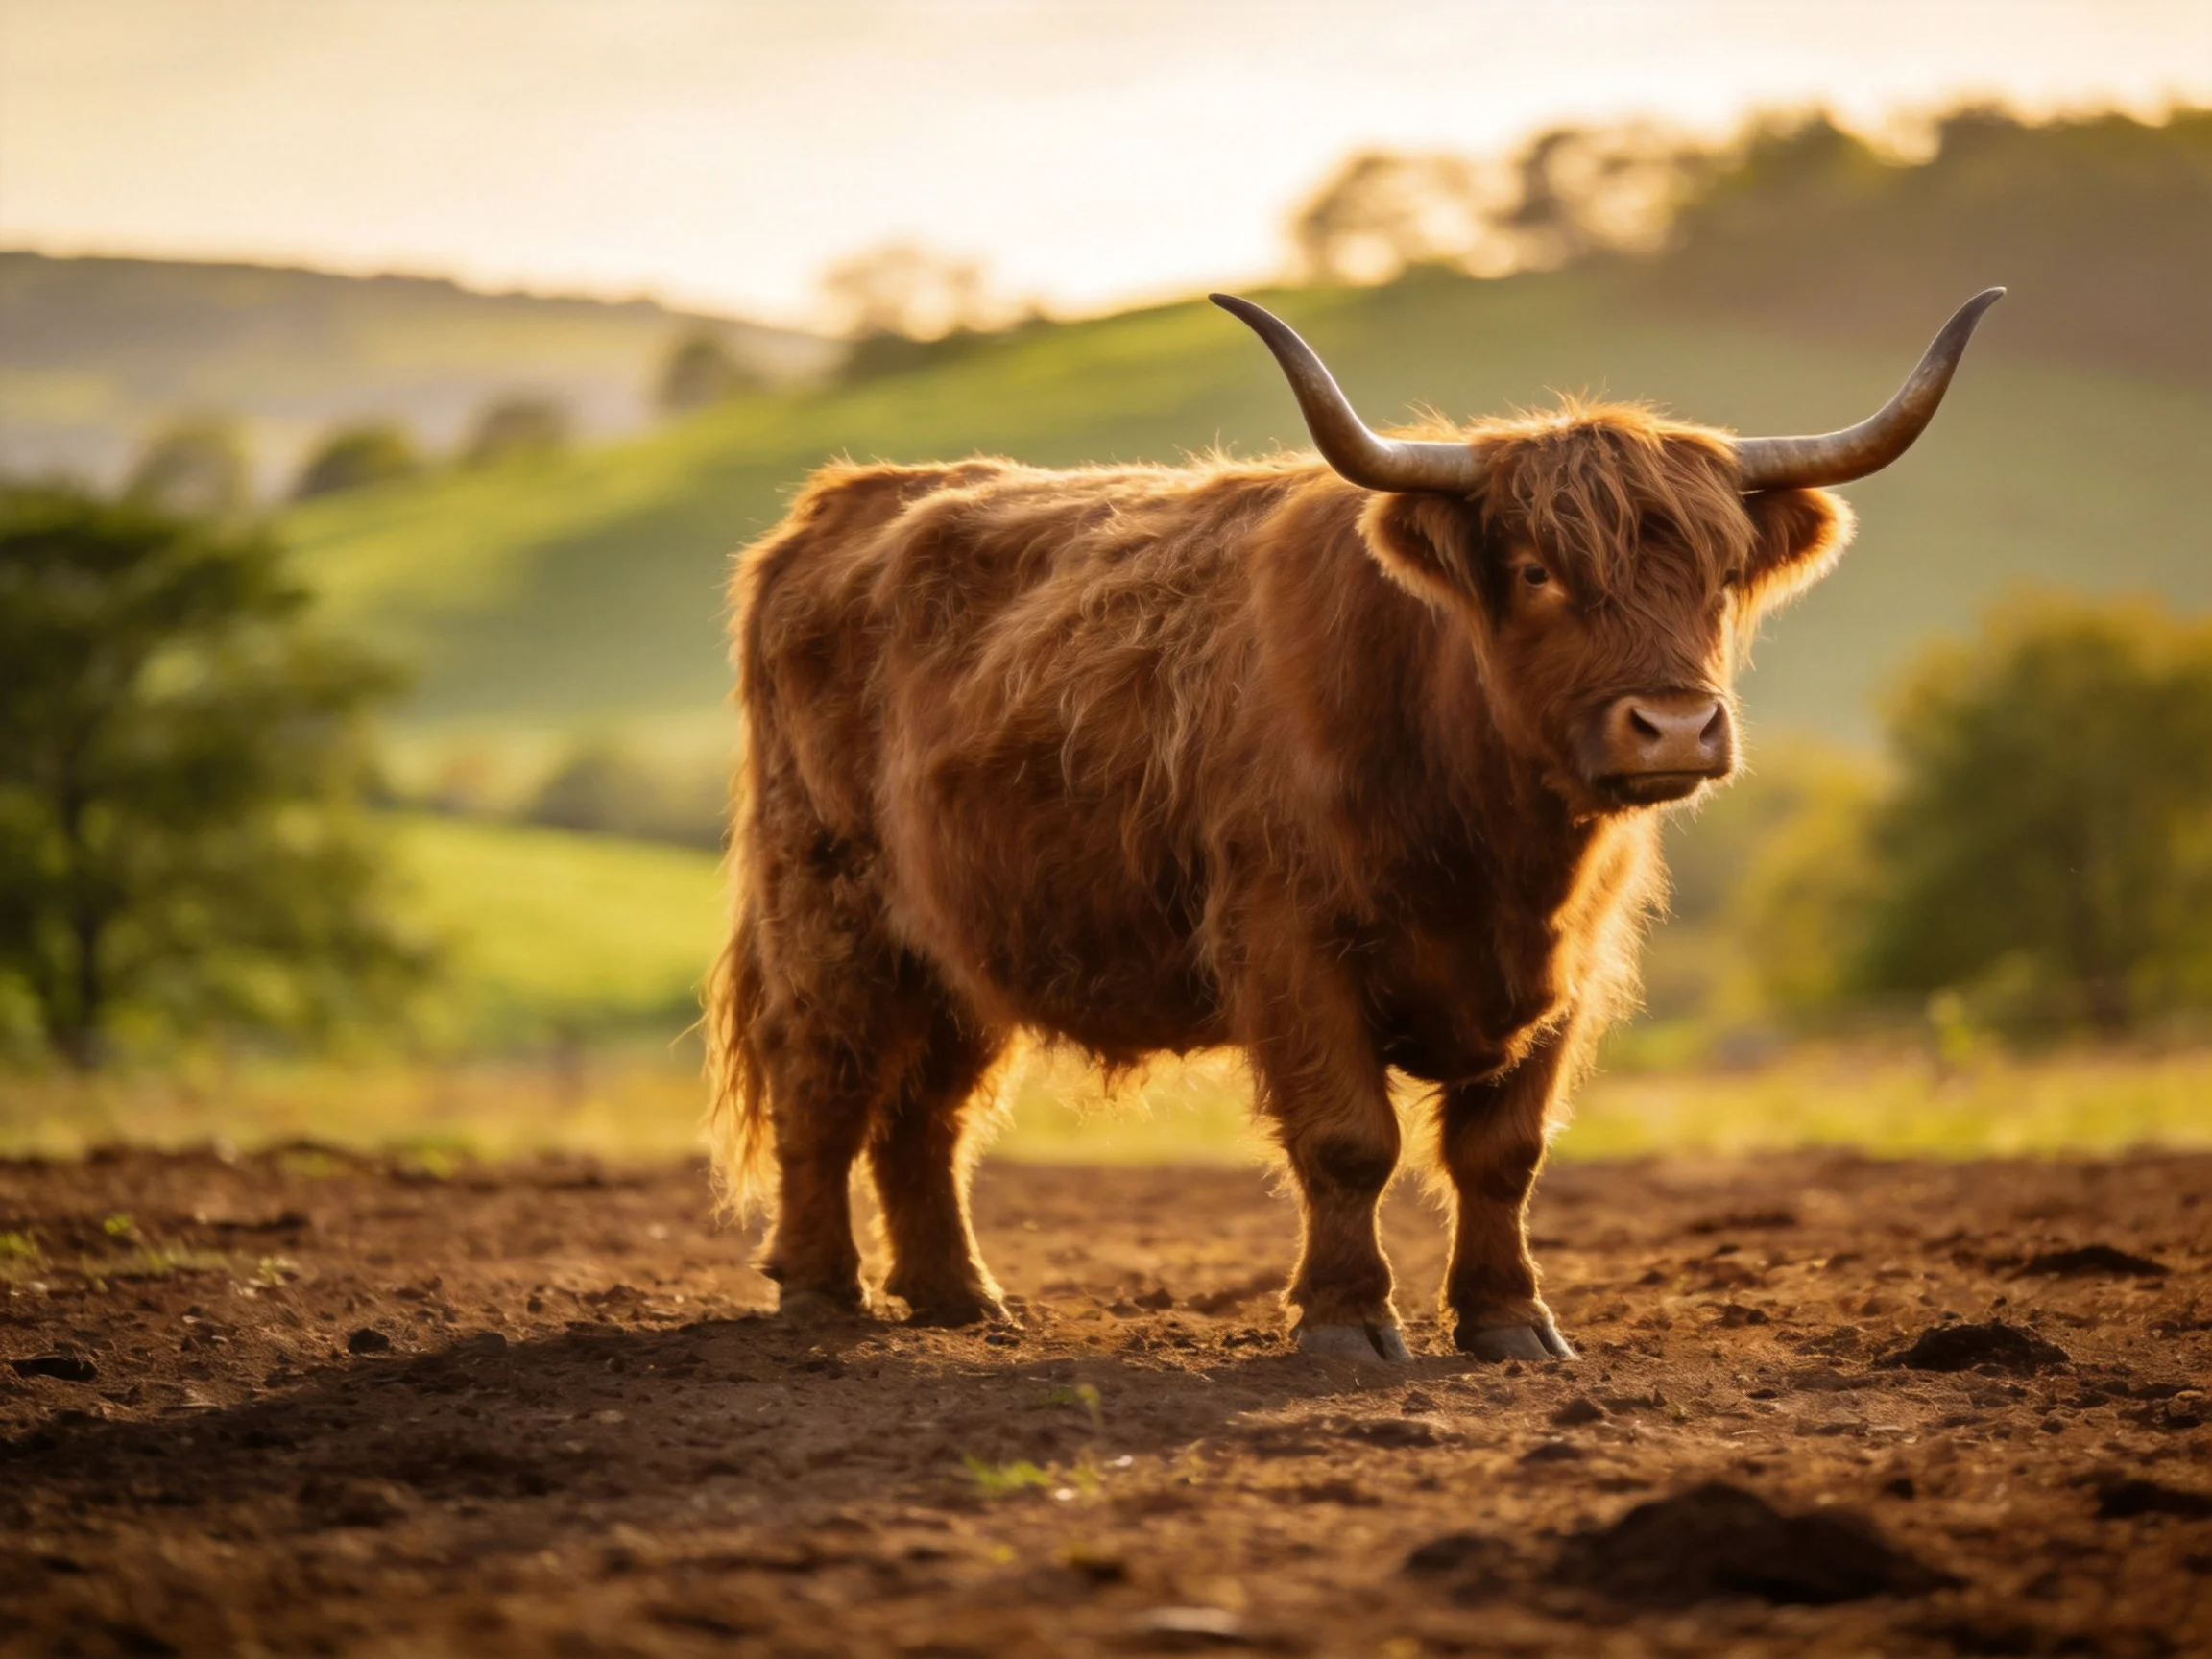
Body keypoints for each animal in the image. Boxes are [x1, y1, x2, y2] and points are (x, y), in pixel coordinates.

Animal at [706, 288, 2001, 1361]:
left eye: (1721, 575)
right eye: (1535, 571)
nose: (1674, 727)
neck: (1492, 843)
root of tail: (849, 498)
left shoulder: (1571, 971)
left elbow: (1503, 1152)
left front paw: (1511, 1322)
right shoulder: (1290, 947)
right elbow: (1349, 1139)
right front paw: (1346, 1324)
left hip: (961, 943)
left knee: (927, 1114)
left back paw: (961, 1300)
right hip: (828, 907)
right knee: (825, 1082)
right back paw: (819, 1291)